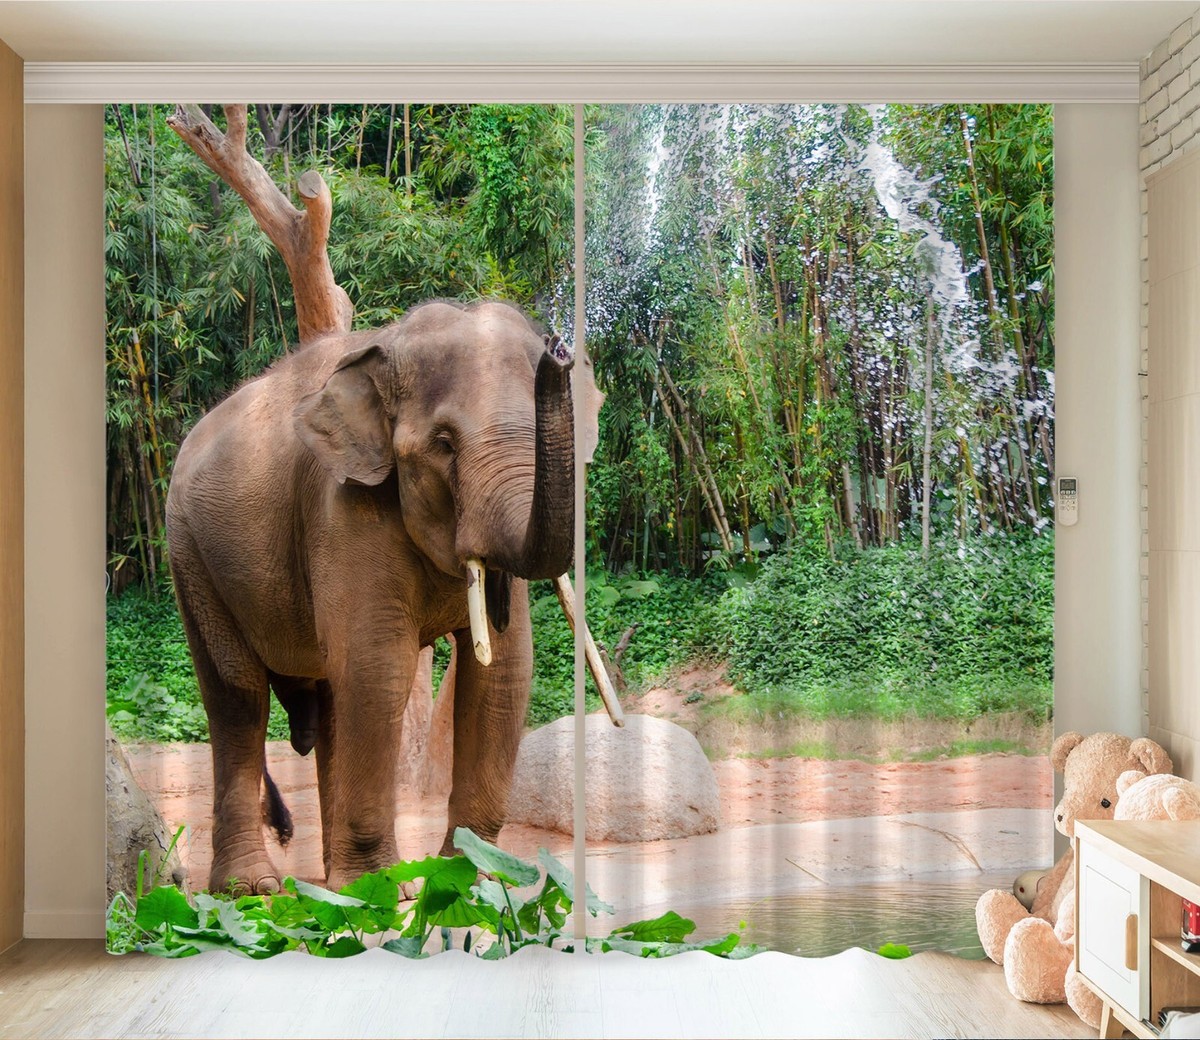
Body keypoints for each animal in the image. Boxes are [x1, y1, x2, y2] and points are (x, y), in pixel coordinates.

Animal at [165, 299, 599, 895]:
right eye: (444, 444)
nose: (559, 351)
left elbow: (502, 674)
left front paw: (469, 882)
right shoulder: (341, 507)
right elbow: (378, 667)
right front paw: (382, 889)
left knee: (326, 700)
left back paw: (331, 886)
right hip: (191, 556)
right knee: (237, 697)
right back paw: (255, 889)